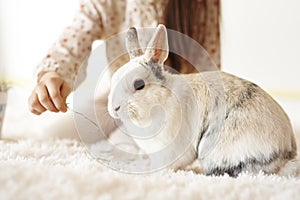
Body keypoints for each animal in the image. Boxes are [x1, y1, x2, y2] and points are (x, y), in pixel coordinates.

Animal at [106, 24, 298, 177]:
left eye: (139, 85)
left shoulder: (170, 150)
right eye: (113, 79)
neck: (162, 99)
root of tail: (285, 156)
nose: (114, 108)